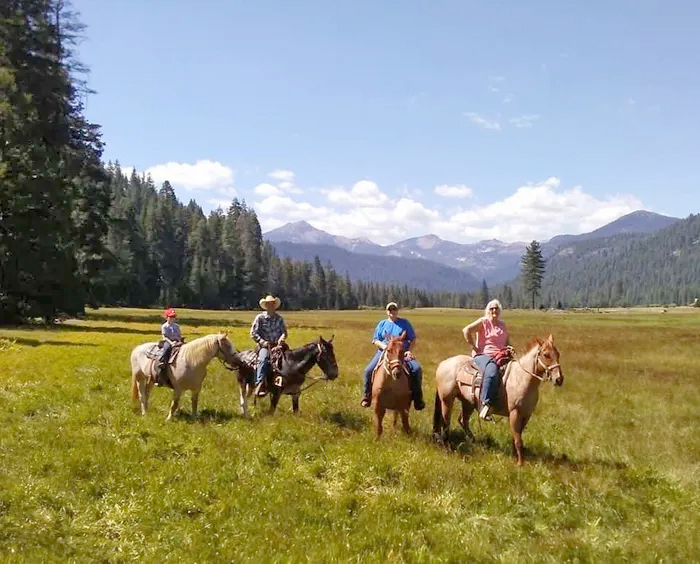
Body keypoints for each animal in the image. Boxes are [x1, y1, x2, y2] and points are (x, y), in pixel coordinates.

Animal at [432, 334, 564, 462]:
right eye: (546, 355)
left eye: (558, 354)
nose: (559, 379)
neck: (520, 378)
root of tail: (443, 364)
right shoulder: (514, 412)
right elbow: (518, 439)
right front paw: (520, 463)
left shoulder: (526, 414)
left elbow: (518, 436)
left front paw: (517, 456)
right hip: (447, 400)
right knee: (446, 422)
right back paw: (448, 447)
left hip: (468, 402)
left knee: (463, 420)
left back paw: (473, 441)